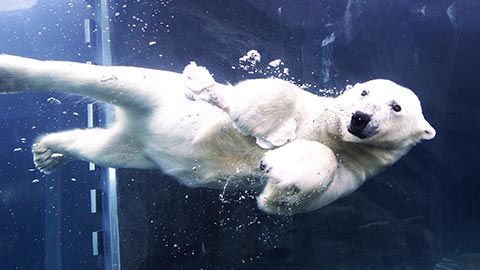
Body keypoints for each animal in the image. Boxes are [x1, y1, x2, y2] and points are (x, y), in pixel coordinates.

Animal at [0, 54, 436, 215]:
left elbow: (283, 201)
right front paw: (271, 132)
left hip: (136, 147)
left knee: (103, 148)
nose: (360, 118)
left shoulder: (352, 177)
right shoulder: (309, 105)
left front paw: (278, 166)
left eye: (396, 107)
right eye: (364, 93)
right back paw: (11, 73)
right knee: (90, 75)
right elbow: (278, 92)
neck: (326, 129)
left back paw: (48, 152)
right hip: (156, 90)